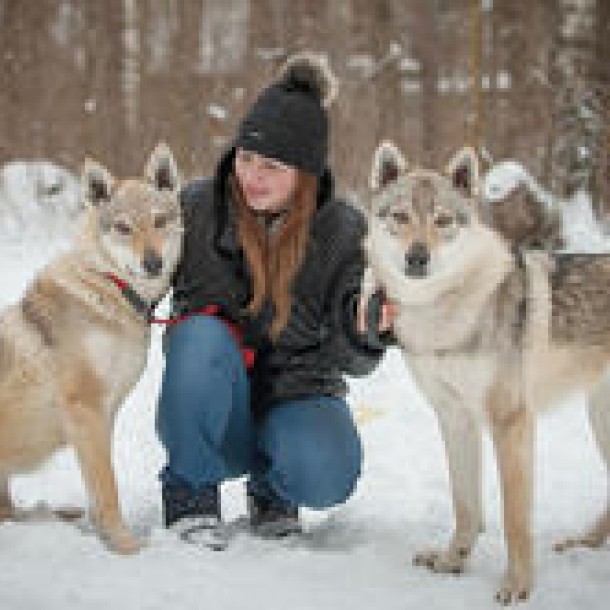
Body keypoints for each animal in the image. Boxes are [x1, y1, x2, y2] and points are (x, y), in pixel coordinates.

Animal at [0, 142, 182, 552]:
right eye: (123, 228)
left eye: (159, 221)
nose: (153, 262)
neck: (111, 288)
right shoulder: (86, 409)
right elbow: (108, 489)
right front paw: (127, 546)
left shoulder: (103, 414)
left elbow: (98, 490)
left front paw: (103, 535)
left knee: (12, 512)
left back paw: (59, 515)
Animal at [360, 142, 608, 604]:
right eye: (400, 216)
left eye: (442, 220)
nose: (417, 257)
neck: (444, 312)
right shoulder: (454, 418)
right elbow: (466, 505)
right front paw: (451, 562)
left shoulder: (510, 423)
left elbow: (514, 519)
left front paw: (518, 586)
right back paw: (584, 543)